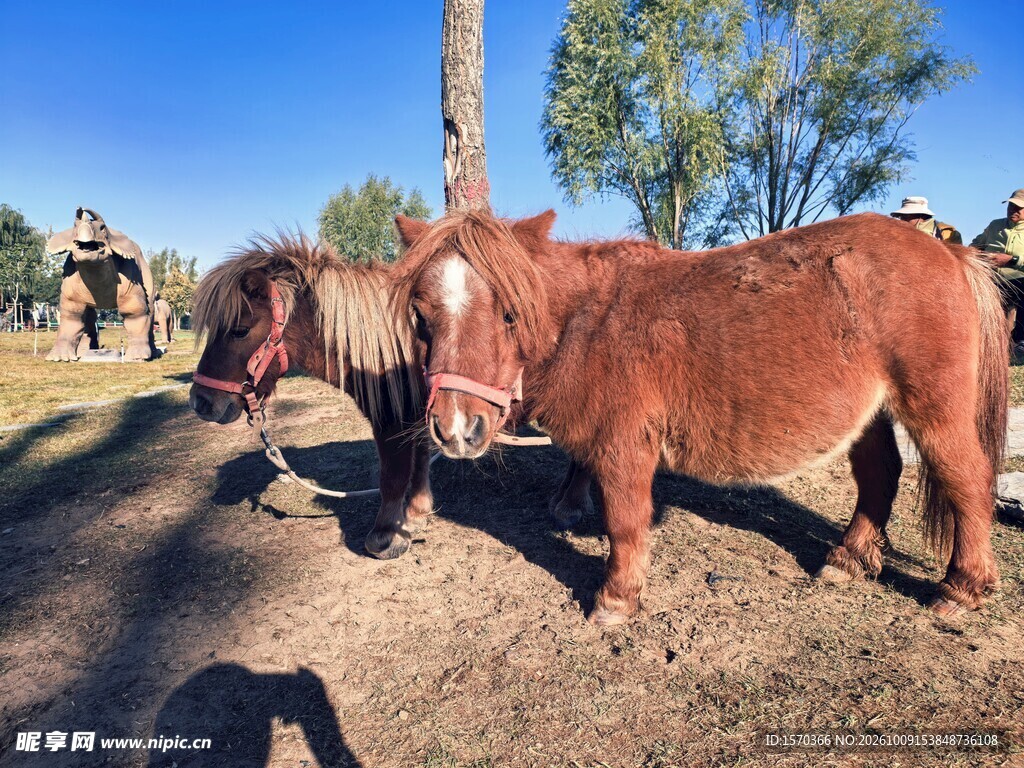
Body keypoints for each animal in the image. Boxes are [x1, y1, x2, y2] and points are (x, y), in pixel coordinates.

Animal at [189, 234, 434, 559]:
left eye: (240, 330)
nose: (199, 402)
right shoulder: (416, 412)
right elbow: (419, 464)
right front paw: (414, 517)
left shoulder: (394, 416)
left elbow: (393, 475)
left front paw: (386, 537)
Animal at [392, 210, 1009, 626]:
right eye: (421, 315)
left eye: (509, 313)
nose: (456, 428)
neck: (591, 322)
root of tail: (951, 255)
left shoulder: (625, 448)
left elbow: (625, 524)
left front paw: (615, 601)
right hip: (870, 413)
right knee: (880, 474)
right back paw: (849, 559)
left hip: (935, 409)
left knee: (968, 481)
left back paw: (962, 588)